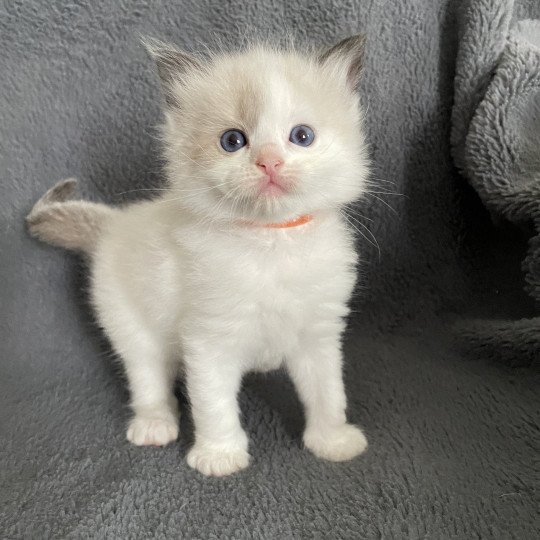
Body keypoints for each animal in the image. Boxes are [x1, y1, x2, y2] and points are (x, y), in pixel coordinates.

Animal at [26, 35, 372, 476]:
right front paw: (219, 456)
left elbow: (327, 393)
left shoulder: (319, 334)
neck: (269, 244)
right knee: (148, 379)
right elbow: (214, 404)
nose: (269, 161)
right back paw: (155, 425)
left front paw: (333, 441)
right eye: (233, 141)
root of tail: (115, 223)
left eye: (301, 136)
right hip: (132, 327)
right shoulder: (208, 340)